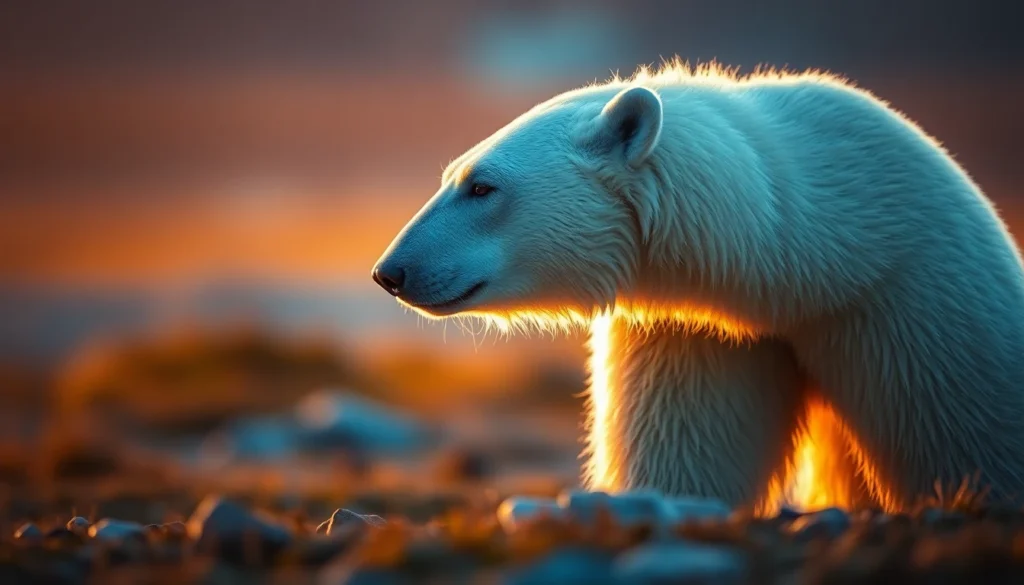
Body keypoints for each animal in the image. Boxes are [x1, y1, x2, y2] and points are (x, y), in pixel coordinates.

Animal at [371, 61, 1024, 513]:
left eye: (482, 186)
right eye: (451, 176)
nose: (390, 272)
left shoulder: (908, 301)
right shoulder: (695, 331)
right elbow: (685, 451)